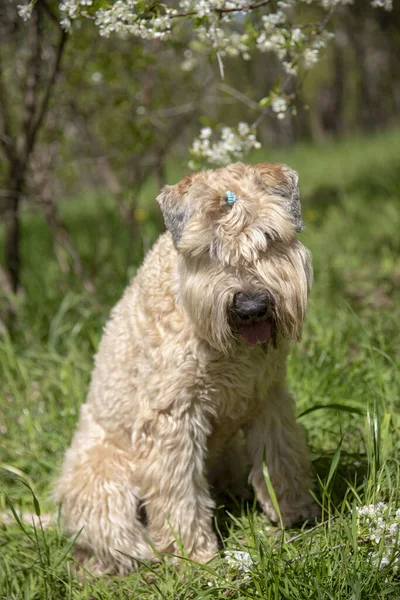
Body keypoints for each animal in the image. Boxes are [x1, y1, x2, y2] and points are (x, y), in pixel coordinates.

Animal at [54, 162, 318, 576]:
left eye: (268, 238)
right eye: (209, 249)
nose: (251, 307)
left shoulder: (268, 398)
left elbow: (281, 458)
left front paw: (295, 512)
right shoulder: (172, 419)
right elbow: (178, 494)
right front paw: (193, 555)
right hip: (103, 475)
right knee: (109, 534)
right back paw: (137, 554)